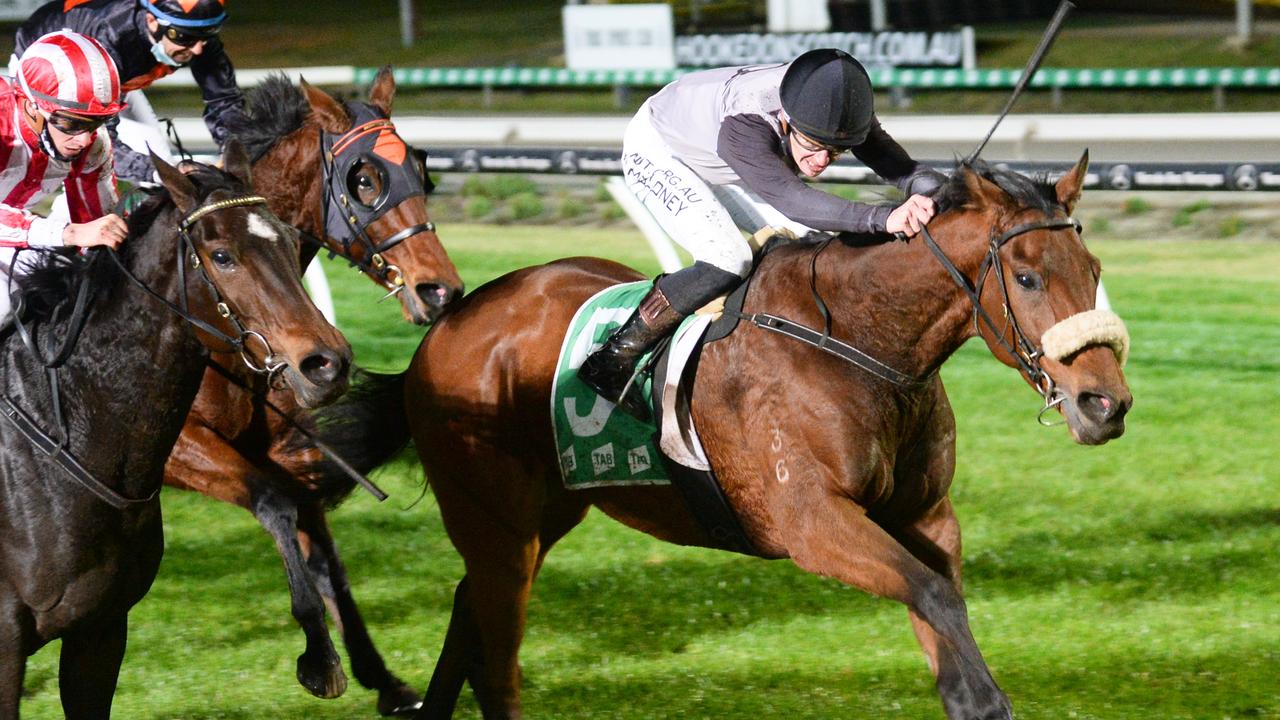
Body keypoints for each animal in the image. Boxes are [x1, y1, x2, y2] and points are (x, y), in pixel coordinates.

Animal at [0, 142, 350, 712]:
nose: (327, 364)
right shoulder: (7, 643)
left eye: (290, 240)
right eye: (222, 255)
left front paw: (322, 653)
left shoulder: (101, 630)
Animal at [158, 67, 460, 712]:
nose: (441, 291)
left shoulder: (278, 447)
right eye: (365, 180)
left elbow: (322, 551)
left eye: (422, 172)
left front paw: (383, 678)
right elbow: (276, 510)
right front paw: (322, 659)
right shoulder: (177, 448)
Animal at [320, 148, 1131, 712]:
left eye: (1093, 267)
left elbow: (942, 605)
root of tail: (446, 323)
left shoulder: (926, 515)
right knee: (497, 657)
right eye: (1026, 277)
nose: (1106, 404)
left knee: (470, 609)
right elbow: (932, 596)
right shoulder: (810, 522)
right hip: (494, 515)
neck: (859, 342)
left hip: (542, 514)